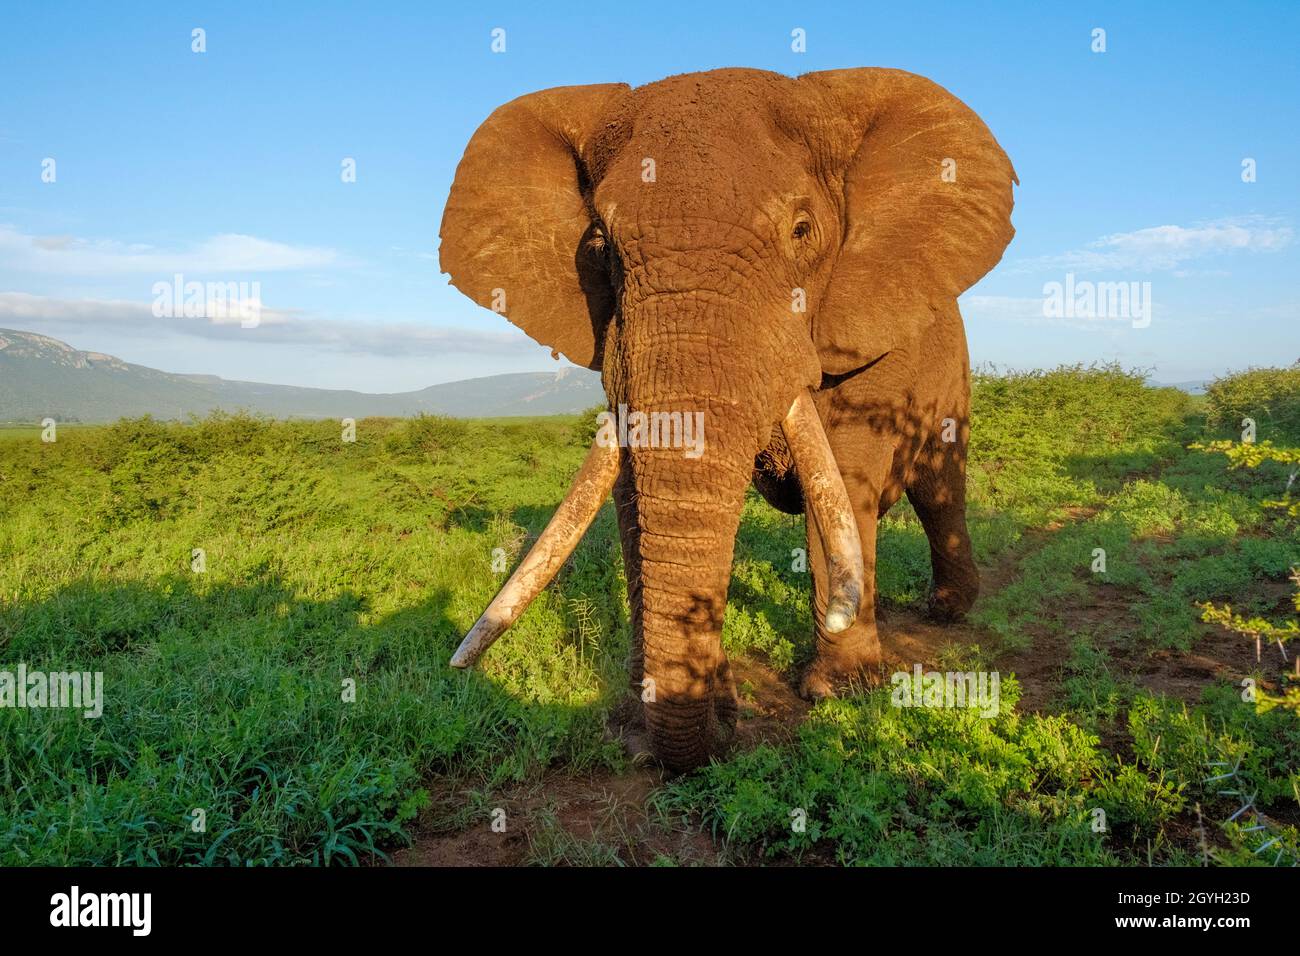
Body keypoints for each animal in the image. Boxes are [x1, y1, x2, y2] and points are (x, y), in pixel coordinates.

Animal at [439, 67, 1017, 772]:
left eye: (802, 230)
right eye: (598, 246)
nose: (727, 714)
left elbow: (843, 488)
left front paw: (839, 692)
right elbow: (630, 501)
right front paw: (648, 719)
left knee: (939, 492)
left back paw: (945, 612)